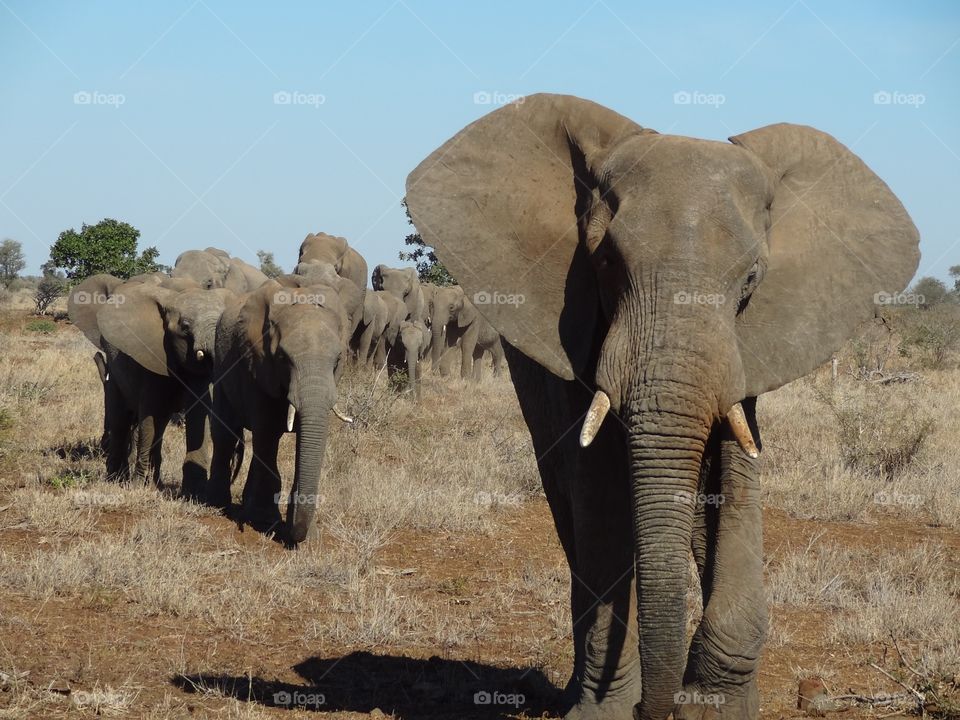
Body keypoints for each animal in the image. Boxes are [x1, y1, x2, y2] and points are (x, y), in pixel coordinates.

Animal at [68, 273, 235, 495]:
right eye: (185, 327)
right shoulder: (150, 358)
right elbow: (150, 414)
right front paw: (138, 486)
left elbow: (199, 415)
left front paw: (193, 492)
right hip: (115, 371)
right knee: (120, 419)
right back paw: (116, 478)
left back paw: (154, 481)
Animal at [208, 276, 353, 544]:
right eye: (284, 358)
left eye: (338, 360)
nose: (297, 536)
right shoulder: (256, 363)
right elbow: (266, 433)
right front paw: (265, 521)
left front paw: (305, 533)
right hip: (221, 368)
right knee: (225, 435)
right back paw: (216, 504)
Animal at [405, 94, 920, 720]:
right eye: (605, 262)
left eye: (752, 277)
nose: (659, 708)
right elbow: (600, 485)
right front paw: (604, 710)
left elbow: (734, 477)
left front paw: (715, 707)